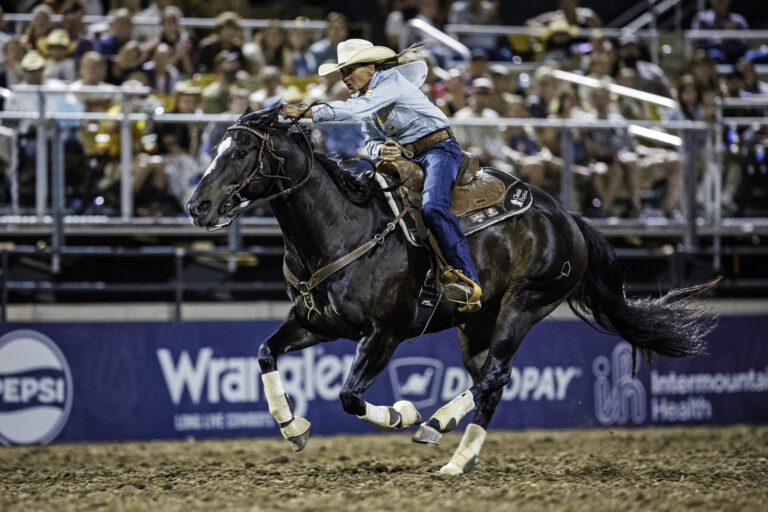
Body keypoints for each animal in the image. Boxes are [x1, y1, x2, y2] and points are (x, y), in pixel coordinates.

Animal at [186, 104, 717, 475]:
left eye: (239, 152)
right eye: (214, 150)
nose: (197, 206)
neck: (343, 228)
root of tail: (567, 217)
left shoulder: (384, 333)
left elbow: (350, 397)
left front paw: (402, 414)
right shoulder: (316, 324)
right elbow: (265, 352)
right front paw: (292, 427)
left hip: (525, 303)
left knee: (495, 375)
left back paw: (435, 425)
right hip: (476, 323)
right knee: (492, 383)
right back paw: (460, 458)